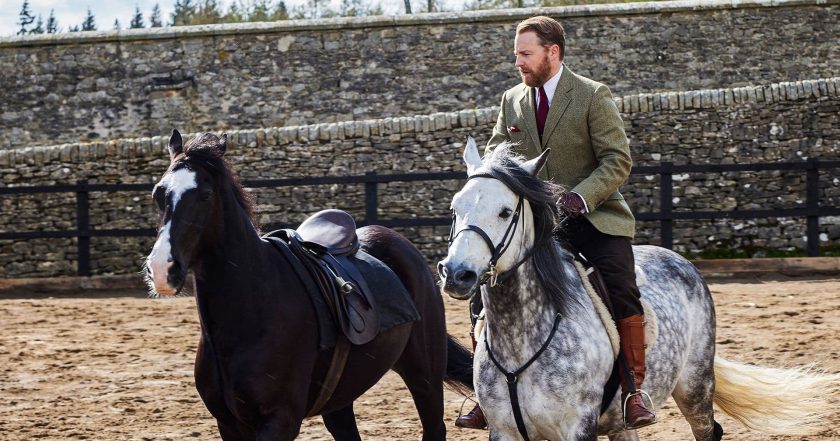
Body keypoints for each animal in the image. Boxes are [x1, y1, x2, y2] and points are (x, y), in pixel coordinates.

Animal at [144, 131, 472, 440]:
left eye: (205, 195)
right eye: (158, 194)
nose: (161, 269)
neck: (252, 312)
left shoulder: (280, 421)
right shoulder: (229, 424)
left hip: (424, 376)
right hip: (342, 400)